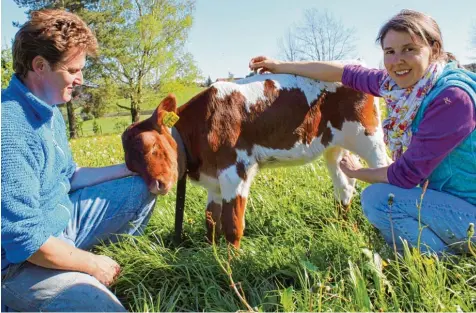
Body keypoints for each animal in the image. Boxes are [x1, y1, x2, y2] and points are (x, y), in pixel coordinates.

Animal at [122, 70, 390, 246]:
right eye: (129, 165)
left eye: (150, 146)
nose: (156, 186)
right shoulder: (214, 180)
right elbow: (211, 221)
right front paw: (210, 253)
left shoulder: (234, 170)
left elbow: (232, 225)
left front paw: (231, 265)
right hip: (334, 147)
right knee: (345, 184)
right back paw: (342, 227)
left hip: (369, 137)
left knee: (383, 170)